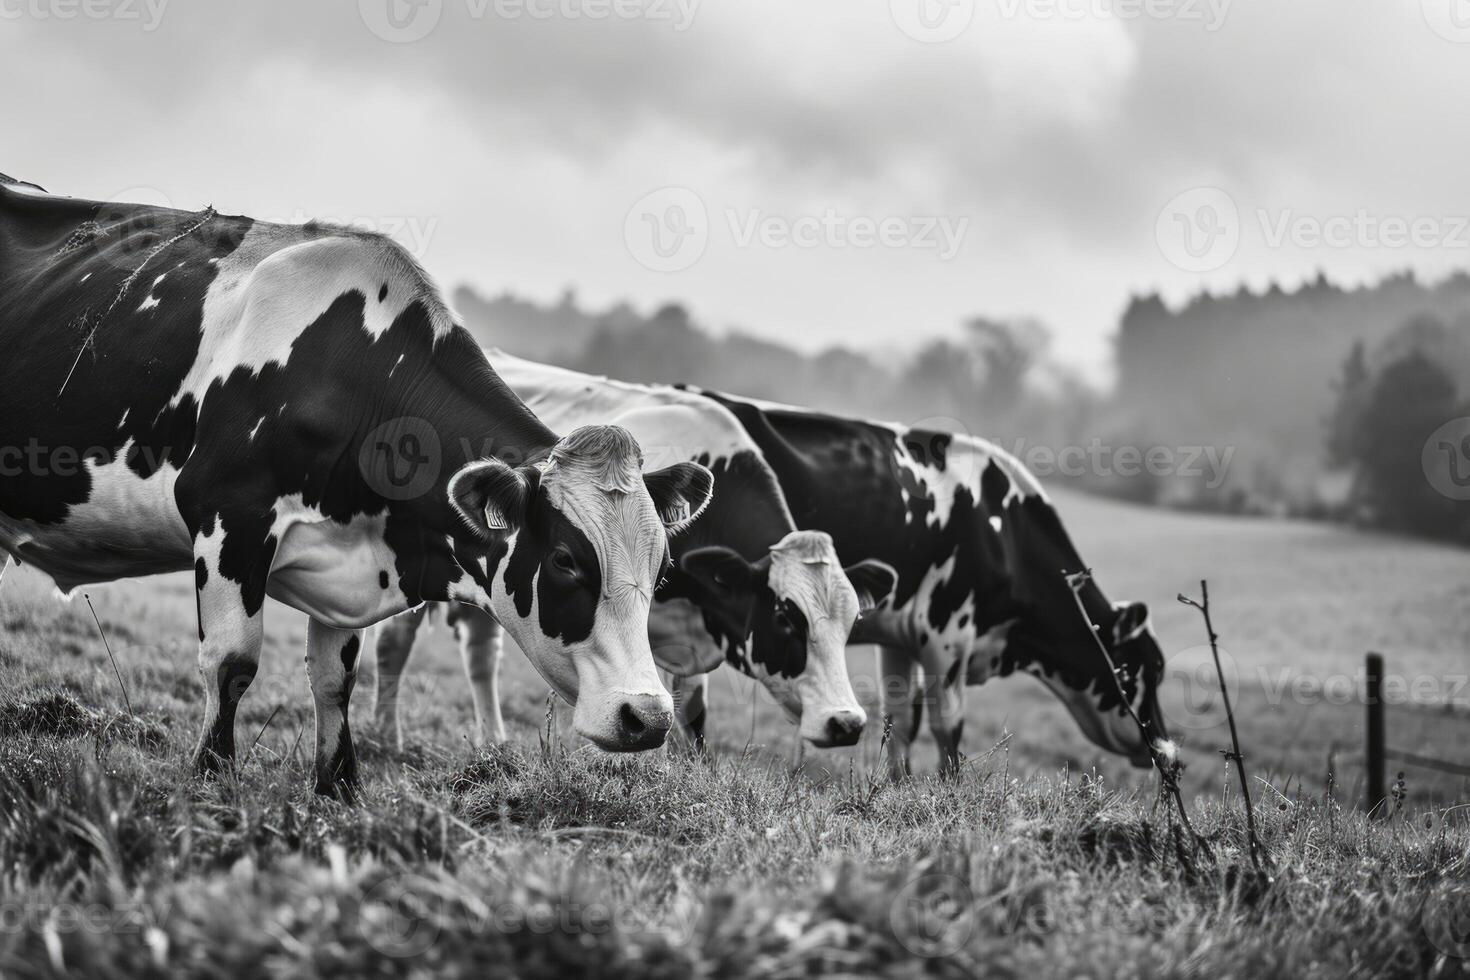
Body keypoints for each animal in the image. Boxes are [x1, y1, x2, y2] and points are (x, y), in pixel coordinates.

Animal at [0, 179, 711, 799]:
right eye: (565, 559)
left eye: (661, 566)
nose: (648, 718)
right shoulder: (229, 517)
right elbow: (231, 663)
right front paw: (210, 779)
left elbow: (335, 680)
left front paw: (338, 787)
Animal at [367, 357, 893, 746]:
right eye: (785, 618)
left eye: (852, 622)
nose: (846, 723)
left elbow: (690, 715)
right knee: (395, 643)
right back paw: (386, 736)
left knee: (480, 653)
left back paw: (493, 741)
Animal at [685, 390, 1170, 781]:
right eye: (1149, 670)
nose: (1169, 754)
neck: (1002, 526)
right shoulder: (949, 631)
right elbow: (947, 726)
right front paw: (949, 791)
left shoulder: (899, 635)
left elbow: (901, 717)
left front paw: (898, 787)